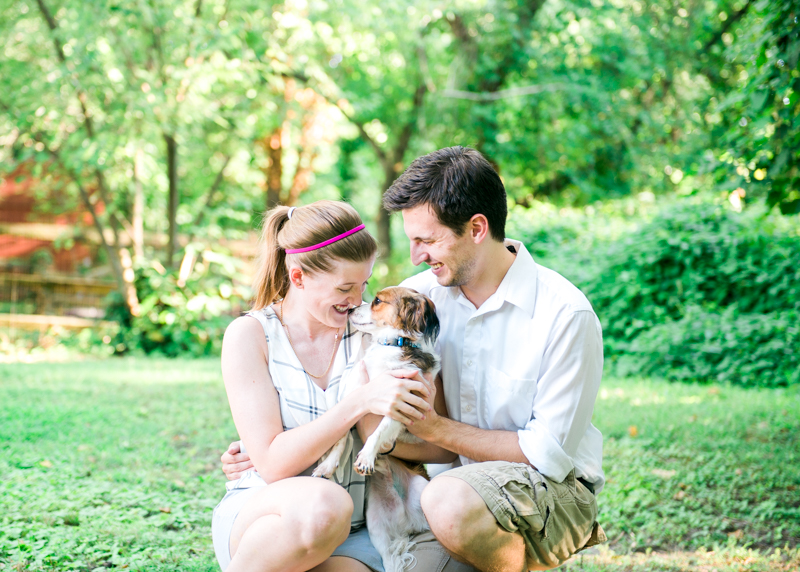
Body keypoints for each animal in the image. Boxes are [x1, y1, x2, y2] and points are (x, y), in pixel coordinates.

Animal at [312, 288, 440, 572]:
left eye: (378, 301)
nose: (349, 309)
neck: (392, 345)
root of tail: (406, 523)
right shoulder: (357, 397)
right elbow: (341, 436)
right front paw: (329, 464)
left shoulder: (401, 402)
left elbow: (378, 431)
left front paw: (367, 457)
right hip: (376, 527)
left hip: (424, 495)